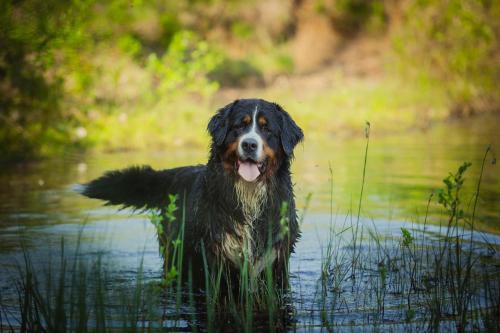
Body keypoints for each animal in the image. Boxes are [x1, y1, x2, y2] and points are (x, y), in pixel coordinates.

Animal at [82, 98, 302, 286]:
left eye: (266, 129)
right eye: (239, 126)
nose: (249, 144)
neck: (249, 193)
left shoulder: (276, 262)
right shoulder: (214, 260)